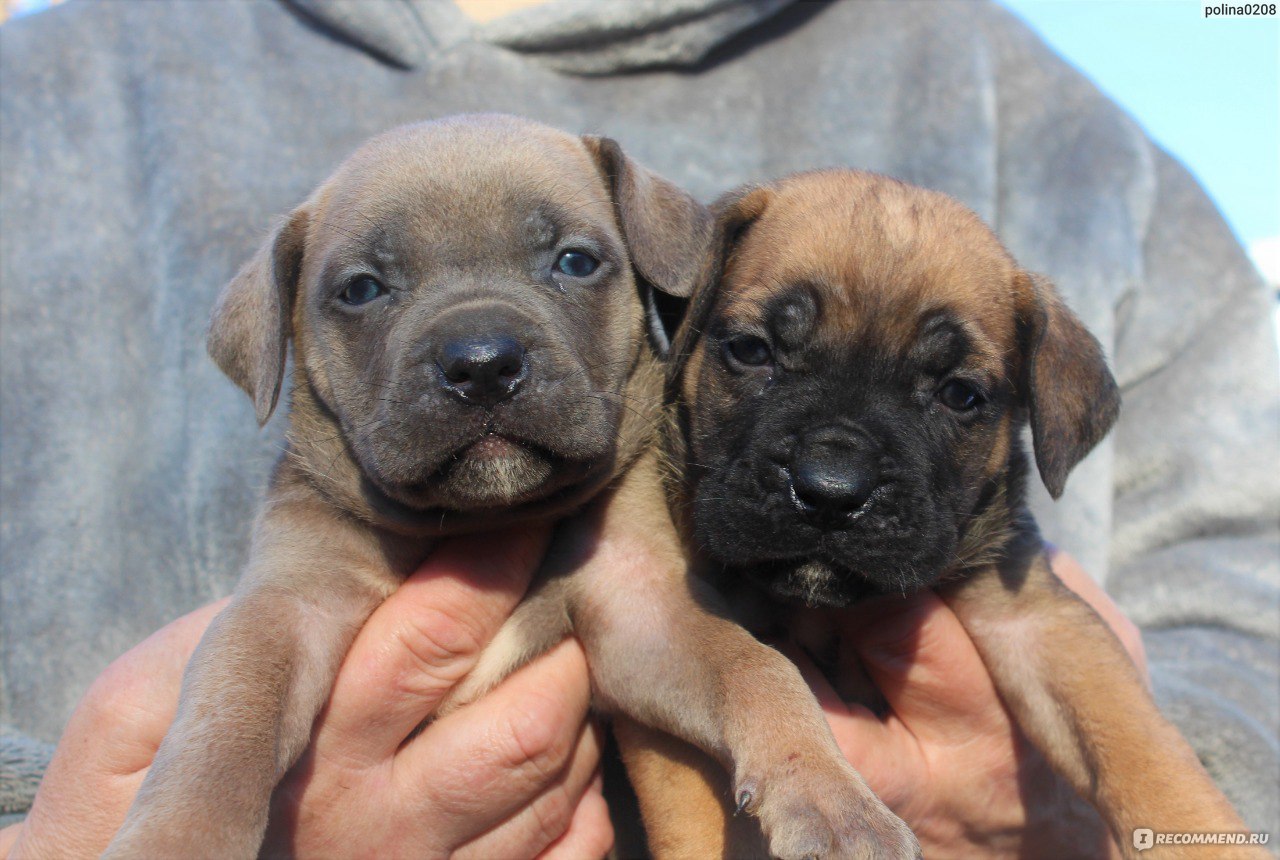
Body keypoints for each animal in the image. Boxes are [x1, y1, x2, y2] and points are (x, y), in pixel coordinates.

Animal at [102, 117, 921, 860]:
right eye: (362, 289)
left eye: (575, 261)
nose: (483, 361)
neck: (480, 518)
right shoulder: (285, 606)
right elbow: (227, 720)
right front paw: (175, 838)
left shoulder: (642, 616)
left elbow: (755, 669)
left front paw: (834, 800)